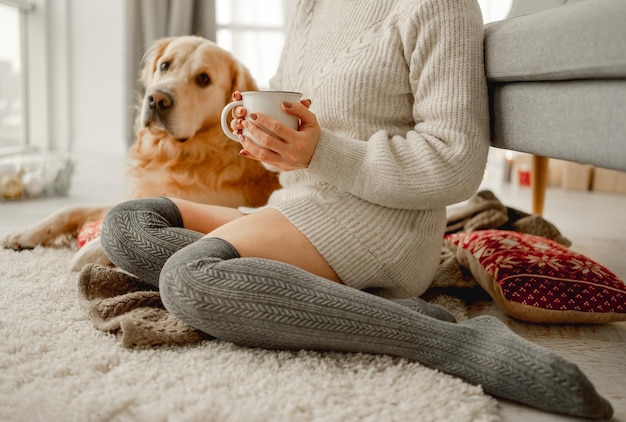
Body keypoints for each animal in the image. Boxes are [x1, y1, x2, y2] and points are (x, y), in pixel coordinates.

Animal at [0, 34, 278, 268]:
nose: (157, 99)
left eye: (203, 79)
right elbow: (70, 209)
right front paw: (25, 233)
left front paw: (88, 252)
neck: (175, 155)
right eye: (165, 66)